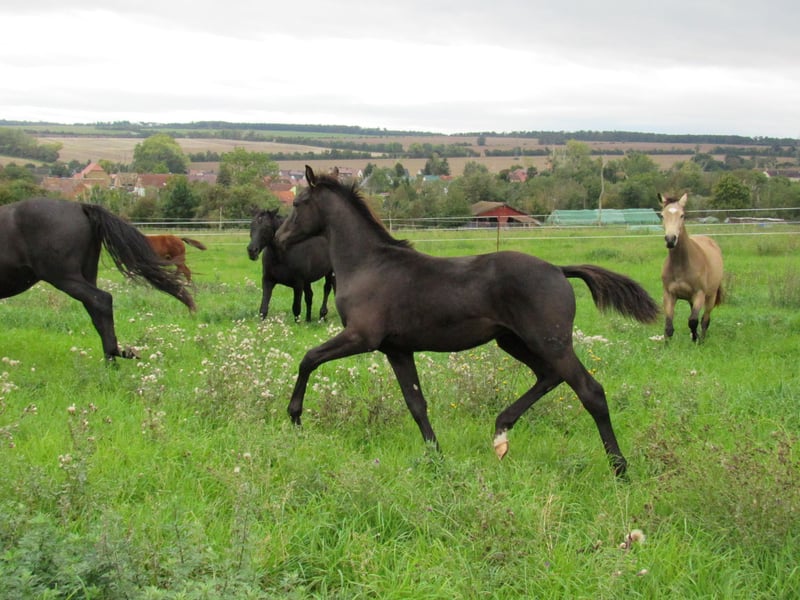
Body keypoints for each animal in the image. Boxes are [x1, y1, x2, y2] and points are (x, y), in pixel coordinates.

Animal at [0, 198, 195, 360]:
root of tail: (81, 207)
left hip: (65, 277)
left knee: (101, 300)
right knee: (97, 309)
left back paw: (112, 356)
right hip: (85, 275)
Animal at [274, 166, 659, 476]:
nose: (278, 239)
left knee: (590, 391)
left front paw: (295, 416)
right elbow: (416, 404)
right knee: (548, 376)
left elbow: (308, 359)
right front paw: (436, 456)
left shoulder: (361, 337)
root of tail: (558, 270)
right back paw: (501, 432)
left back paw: (620, 468)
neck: (369, 264)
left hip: (550, 342)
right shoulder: (397, 350)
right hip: (514, 340)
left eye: (297, 204)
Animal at [659, 193, 724, 342]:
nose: (670, 240)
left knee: (705, 320)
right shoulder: (669, 295)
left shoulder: (699, 294)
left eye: (682, 215)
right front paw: (667, 345)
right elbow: (668, 326)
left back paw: (702, 339)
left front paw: (696, 340)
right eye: (663, 215)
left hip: (710, 297)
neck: (681, 265)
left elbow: (693, 321)